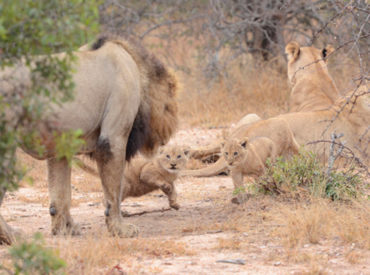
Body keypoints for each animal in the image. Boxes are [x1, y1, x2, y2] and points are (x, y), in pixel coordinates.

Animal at [0, 35, 179, 244]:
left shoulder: (60, 145)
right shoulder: (113, 138)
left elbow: (61, 194)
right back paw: (12, 235)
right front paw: (121, 230)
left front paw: (66, 229)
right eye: (168, 106)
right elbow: (113, 193)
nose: (167, 135)